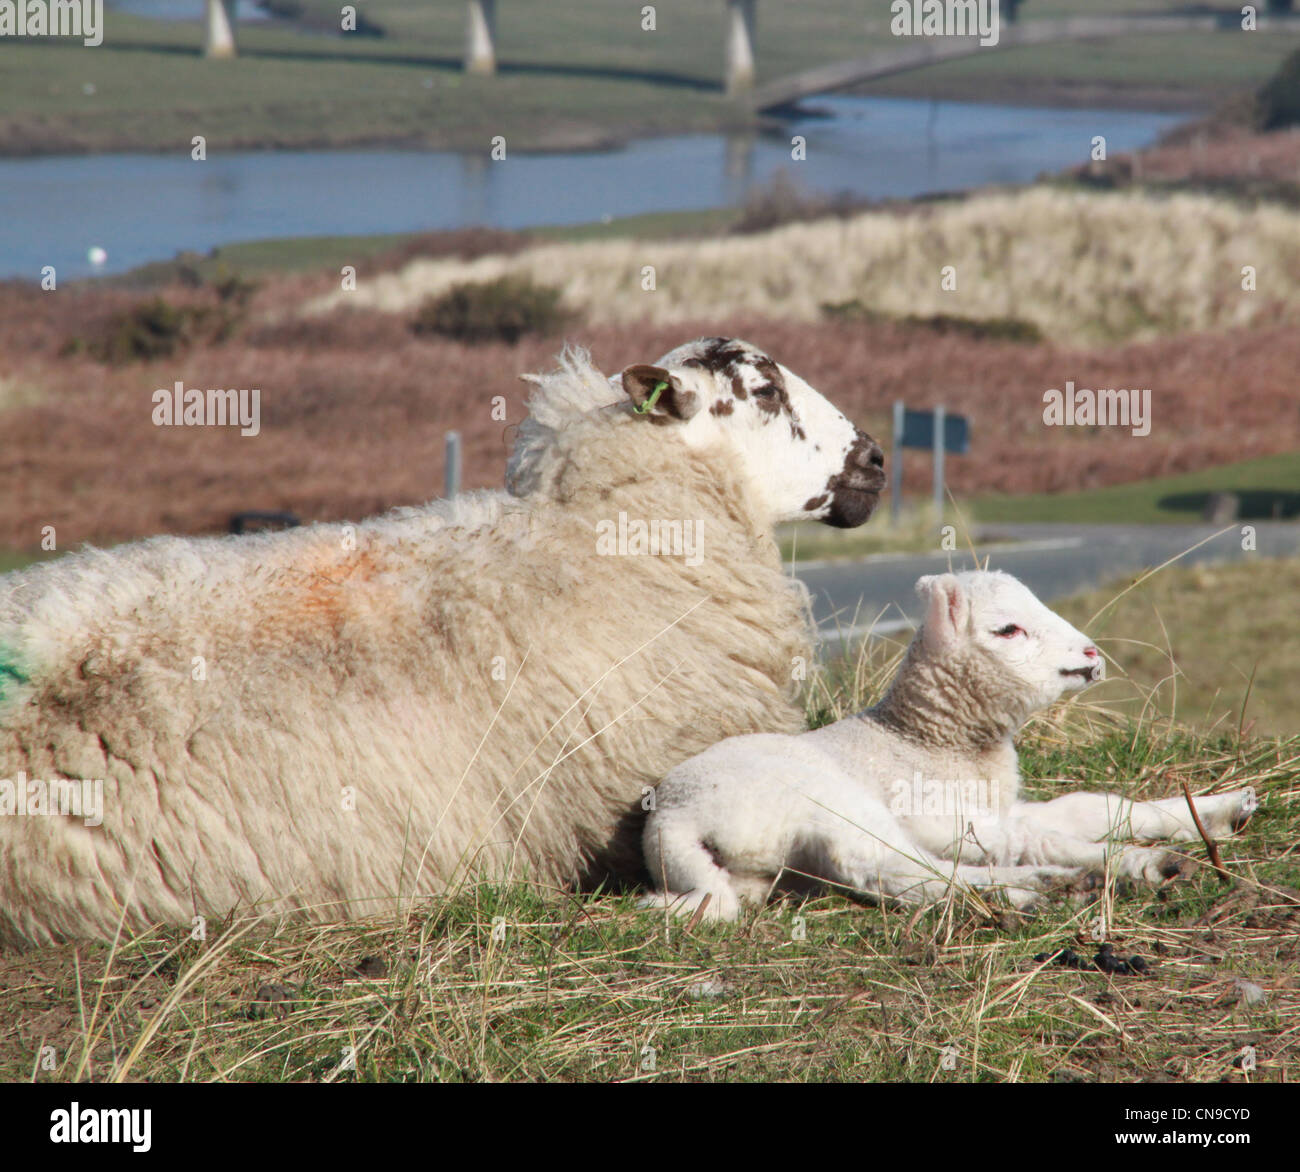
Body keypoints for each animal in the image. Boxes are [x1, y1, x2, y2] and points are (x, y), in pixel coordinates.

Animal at [642, 571, 1258, 925]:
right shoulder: (938, 815)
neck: (925, 739)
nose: (1091, 655)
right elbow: (1035, 838)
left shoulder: (998, 805)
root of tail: (670, 820)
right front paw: (1142, 862)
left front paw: (1224, 809)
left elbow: (1097, 808)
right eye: (1008, 630)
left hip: (766, 867)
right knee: (895, 872)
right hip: (824, 802)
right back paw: (1041, 887)